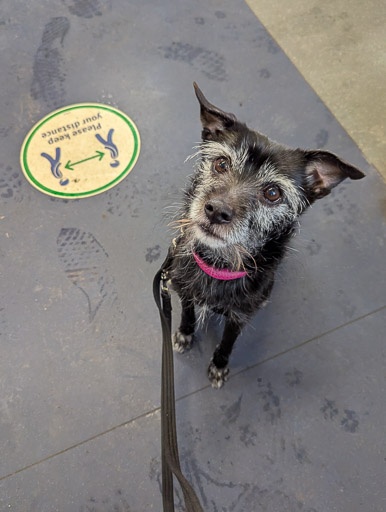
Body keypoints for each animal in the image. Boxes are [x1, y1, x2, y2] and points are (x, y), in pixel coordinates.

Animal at [169, 84, 364, 388]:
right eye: (221, 164)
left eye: (273, 193)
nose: (216, 211)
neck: (219, 266)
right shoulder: (183, 289)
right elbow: (187, 315)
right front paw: (184, 334)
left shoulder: (239, 317)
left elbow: (227, 343)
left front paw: (219, 366)